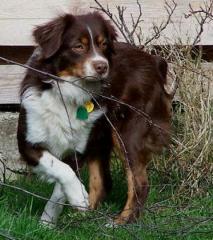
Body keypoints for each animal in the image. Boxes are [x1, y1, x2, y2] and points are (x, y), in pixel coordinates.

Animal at [17, 11, 172, 226]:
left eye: (103, 44)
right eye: (78, 46)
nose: (102, 66)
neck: (69, 92)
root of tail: (155, 61)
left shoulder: (78, 147)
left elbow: (63, 177)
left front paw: (71, 203)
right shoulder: (28, 141)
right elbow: (60, 169)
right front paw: (49, 223)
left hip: (126, 132)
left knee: (139, 182)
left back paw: (120, 222)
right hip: (101, 135)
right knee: (103, 181)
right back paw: (85, 216)